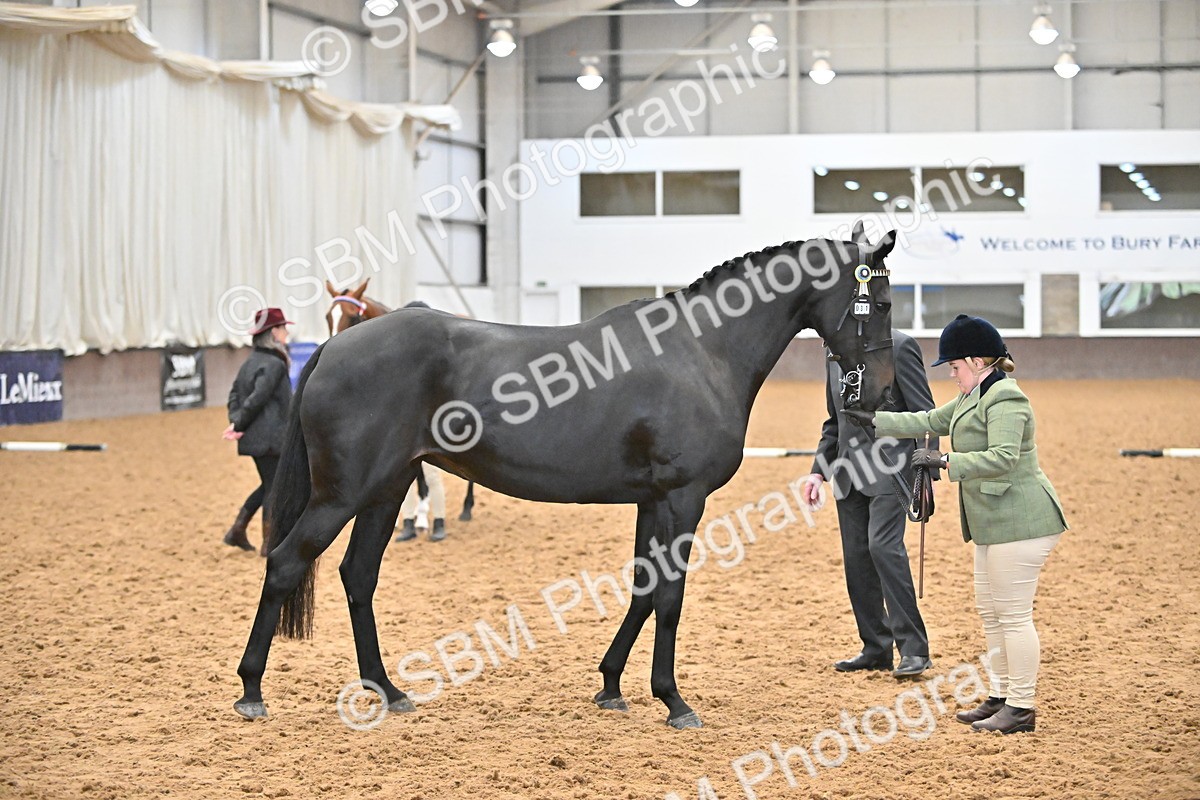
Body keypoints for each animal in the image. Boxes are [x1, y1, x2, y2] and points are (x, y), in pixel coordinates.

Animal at [236, 224, 898, 729]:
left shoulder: (653, 500)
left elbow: (643, 588)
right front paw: (673, 700)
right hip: (343, 493)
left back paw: (387, 690)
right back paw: (251, 691)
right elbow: (671, 596)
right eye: (885, 303)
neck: (702, 351)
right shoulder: (682, 498)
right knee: (287, 563)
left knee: (358, 576)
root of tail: (336, 347)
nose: (882, 393)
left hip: (387, 489)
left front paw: (612, 685)